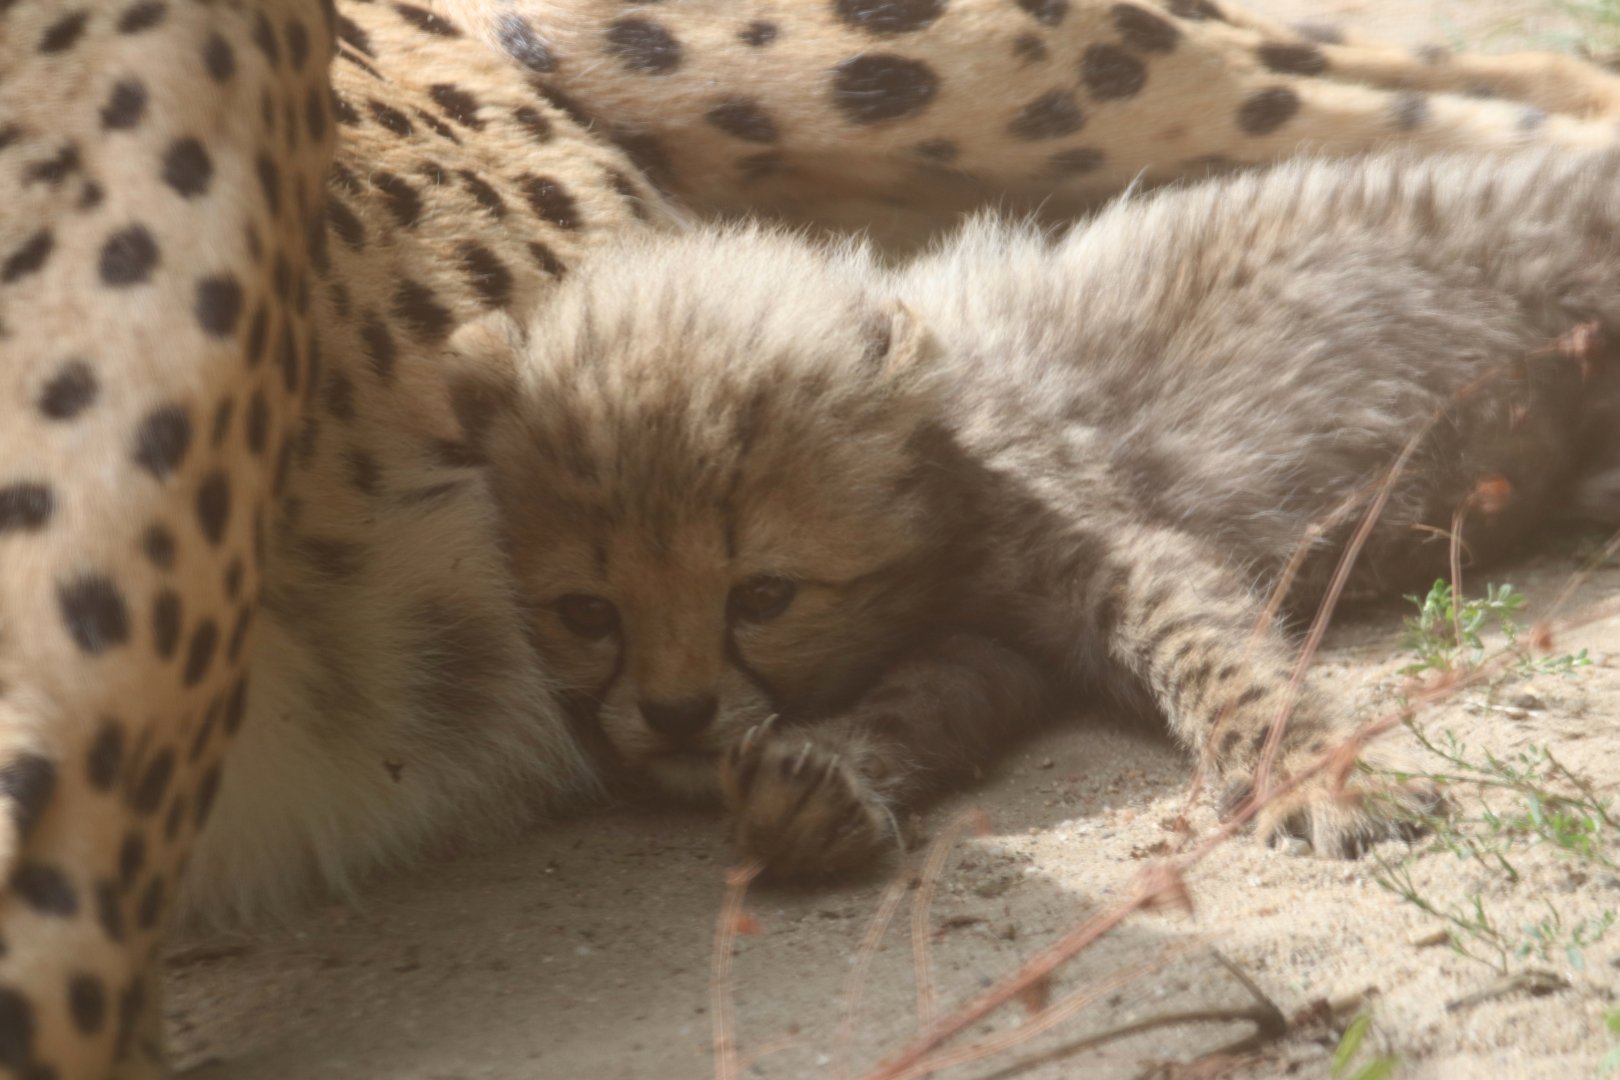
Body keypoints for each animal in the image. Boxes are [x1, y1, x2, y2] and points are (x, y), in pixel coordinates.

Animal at [8, 0, 1620, 1076]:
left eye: (759, 594)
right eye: (586, 612)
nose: (669, 716)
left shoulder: (1091, 540)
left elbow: (1204, 642)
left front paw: (1333, 777)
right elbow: (939, 690)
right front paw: (815, 788)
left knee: (1518, 85)